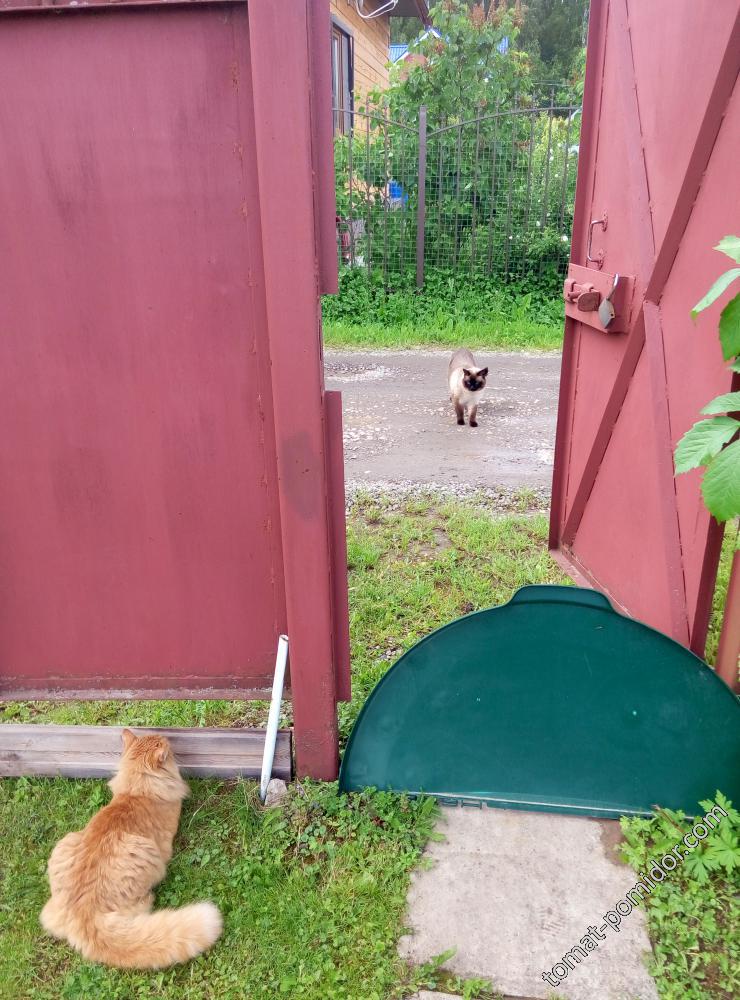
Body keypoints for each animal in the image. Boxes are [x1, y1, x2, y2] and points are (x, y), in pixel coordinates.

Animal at [40, 728, 222, 969]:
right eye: (170, 751)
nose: (167, 739)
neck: (137, 790)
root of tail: (83, 916)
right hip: (147, 855)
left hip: (66, 842)